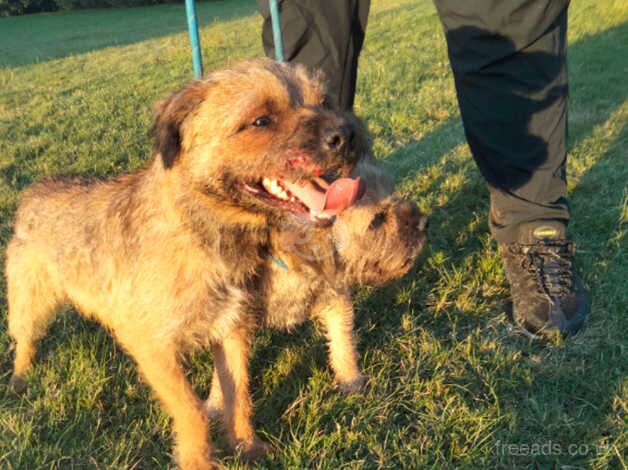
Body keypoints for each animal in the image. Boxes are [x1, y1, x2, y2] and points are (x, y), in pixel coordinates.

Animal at [4, 60, 368, 468]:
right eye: (260, 120)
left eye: (324, 102)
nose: (348, 135)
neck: (206, 236)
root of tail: (33, 192)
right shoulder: (151, 347)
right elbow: (192, 409)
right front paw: (199, 461)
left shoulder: (232, 331)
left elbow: (238, 394)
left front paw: (246, 446)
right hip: (29, 303)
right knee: (24, 339)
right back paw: (21, 377)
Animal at [205, 158, 426, 440]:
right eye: (376, 220)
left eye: (394, 193)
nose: (423, 222)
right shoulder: (233, 320)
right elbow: (224, 371)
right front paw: (216, 405)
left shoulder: (336, 297)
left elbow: (343, 344)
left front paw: (351, 380)